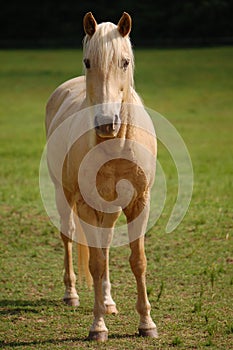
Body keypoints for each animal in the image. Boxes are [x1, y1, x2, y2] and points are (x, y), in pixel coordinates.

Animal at [45, 11, 158, 342]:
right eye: (87, 61)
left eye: (125, 61)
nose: (107, 124)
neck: (116, 143)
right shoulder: (85, 204)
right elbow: (95, 263)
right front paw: (97, 326)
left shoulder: (139, 203)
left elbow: (137, 261)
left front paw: (147, 323)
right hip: (64, 197)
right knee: (69, 237)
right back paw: (72, 295)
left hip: (108, 209)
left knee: (105, 245)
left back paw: (108, 302)